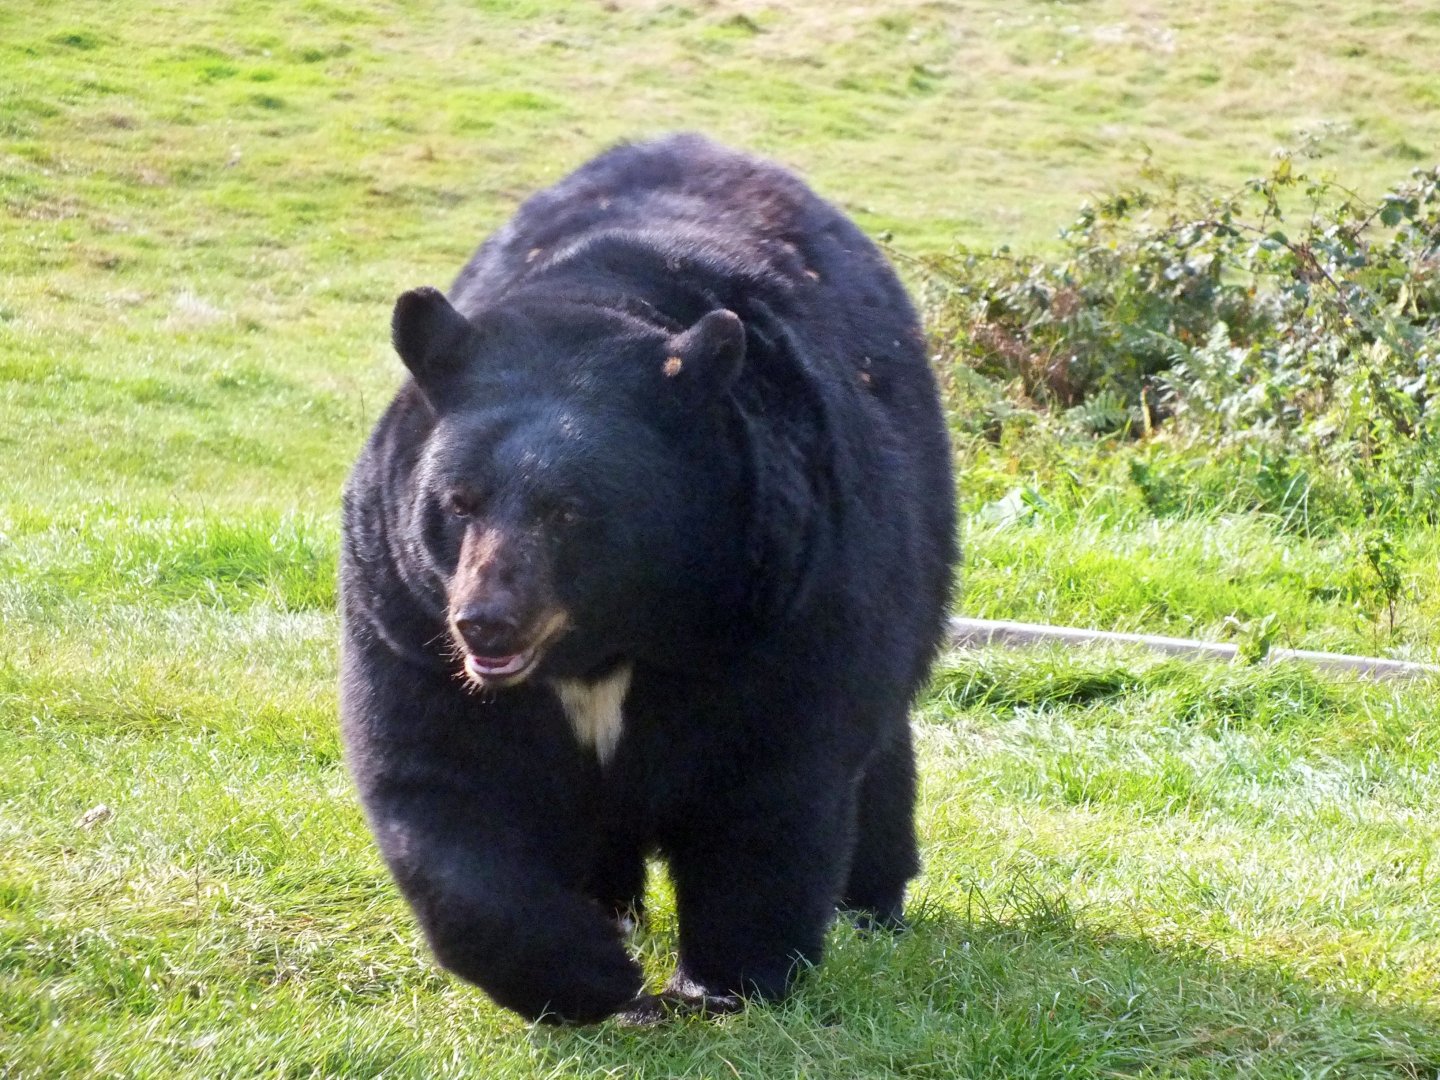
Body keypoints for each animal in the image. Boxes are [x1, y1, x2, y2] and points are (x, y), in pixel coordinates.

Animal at [339, 133, 957, 1024]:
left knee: (880, 745)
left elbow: (769, 780)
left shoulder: (779, 596)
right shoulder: (402, 608)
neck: (606, 640)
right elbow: (442, 781)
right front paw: (588, 973)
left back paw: (873, 900)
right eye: (458, 501)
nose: (486, 621)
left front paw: (728, 981)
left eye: (569, 512)